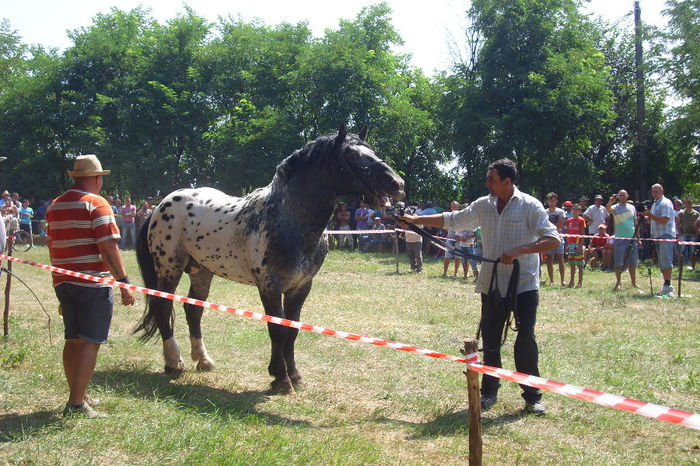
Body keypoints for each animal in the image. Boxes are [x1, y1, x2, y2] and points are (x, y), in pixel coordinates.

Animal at [135, 124, 404, 394]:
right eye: (351, 155)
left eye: (371, 150)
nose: (398, 184)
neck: (286, 219)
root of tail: (160, 205)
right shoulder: (270, 287)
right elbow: (276, 329)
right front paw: (281, 379)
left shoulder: (300, 287)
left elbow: (292, 329)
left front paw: (293, 375)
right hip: (169, 268)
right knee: (163, 306)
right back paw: (174, 363)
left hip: (202, 271)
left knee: (193, 310)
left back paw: (203, 360)